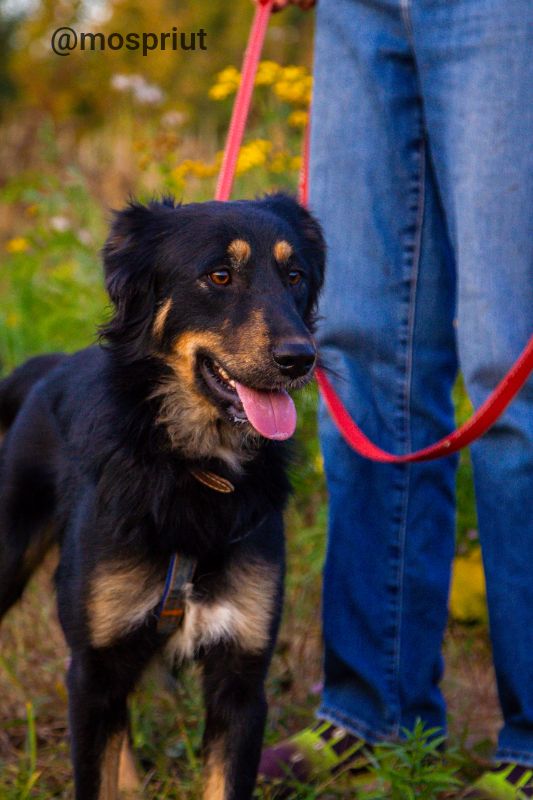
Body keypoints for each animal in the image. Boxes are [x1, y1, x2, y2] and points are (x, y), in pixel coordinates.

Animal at [0, 195, 324, 800]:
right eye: (219, 276)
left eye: (295, 276)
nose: (301, 358)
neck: (195, 469)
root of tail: (51, 364)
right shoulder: (93, 670)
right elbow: (93, 771)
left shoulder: (242, 679)